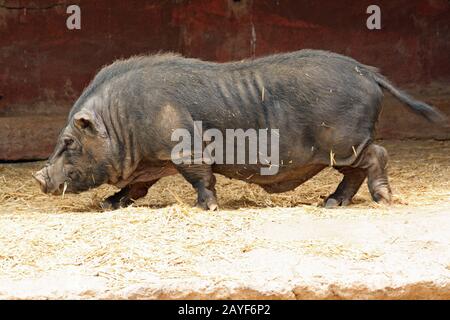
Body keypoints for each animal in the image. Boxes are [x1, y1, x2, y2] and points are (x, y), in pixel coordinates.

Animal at [33, 49, 444, 210]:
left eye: (68, 141)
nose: (39, 177)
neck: (120, 122)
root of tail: (369, 72)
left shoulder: (185, 148)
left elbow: (200, 177)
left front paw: (209, 208)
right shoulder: (151, 162)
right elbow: (136, 187)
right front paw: (109, 203)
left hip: (345, 142)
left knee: (377, 155)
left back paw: (383, 200)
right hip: (344, 147)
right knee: (356, 171)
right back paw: (330, 202)